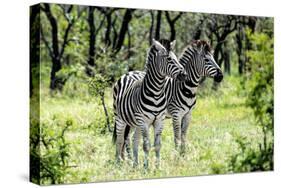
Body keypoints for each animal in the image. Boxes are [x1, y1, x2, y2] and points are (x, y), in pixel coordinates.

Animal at [111, 38, 186, 167]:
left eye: (176, 58)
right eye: (169, 59)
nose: (185, 75)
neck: (156, 93)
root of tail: (128, 73)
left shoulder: (159, 121)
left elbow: (157, 145)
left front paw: (157, 166)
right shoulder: (144, 122)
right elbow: (146, 146)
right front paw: (146, 167)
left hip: (134, 123)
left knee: (133, 139)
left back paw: (135, 164)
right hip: (120, 118)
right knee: (120, 139)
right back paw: (118, 162)